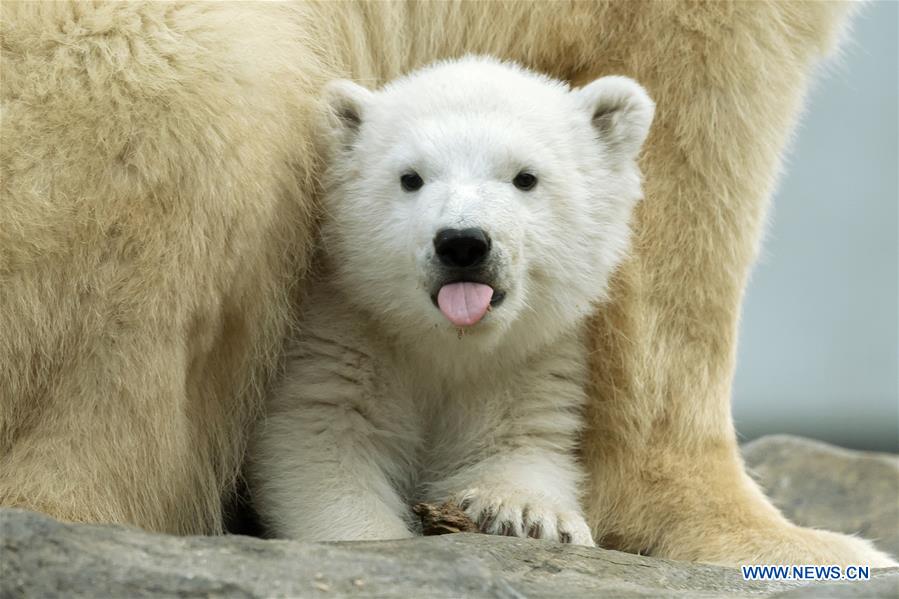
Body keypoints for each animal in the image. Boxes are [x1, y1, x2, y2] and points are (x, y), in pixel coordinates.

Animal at [247, 56, 654, 544]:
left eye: (526, 177)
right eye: (410, 178)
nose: (462, 243)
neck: (445, 343)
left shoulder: (523, 365)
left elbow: (520, 440)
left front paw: (529, 516)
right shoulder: (341, 341)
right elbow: (321, 442)